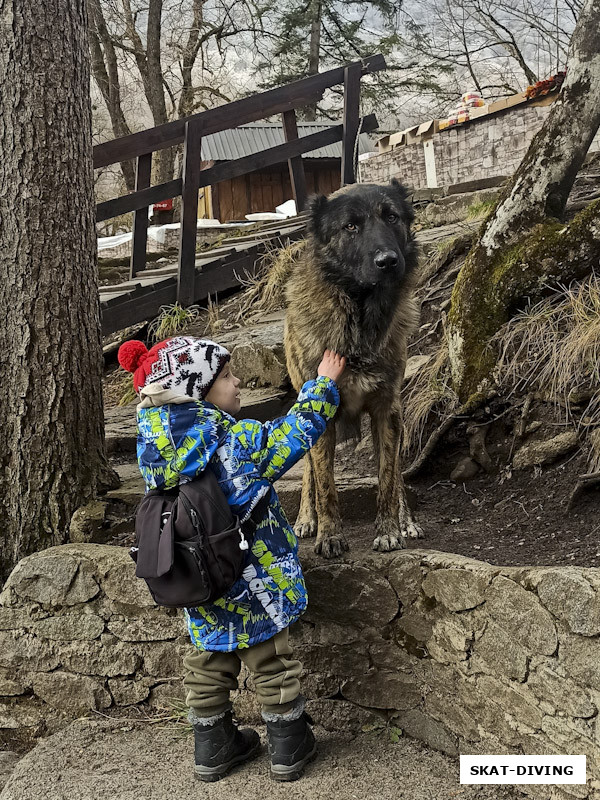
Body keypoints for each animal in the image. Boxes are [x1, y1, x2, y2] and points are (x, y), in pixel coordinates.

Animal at [284, 180, 422, 556]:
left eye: (391, 217)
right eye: (350, 227)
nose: (388, 261)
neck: (358, 319)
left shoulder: (386, 410)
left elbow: (388, 478)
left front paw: (390, 530)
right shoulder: (320, 413)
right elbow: (325, 484)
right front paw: (329, 535)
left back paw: (406, 520)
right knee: (308, 471)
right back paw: (306, 518)